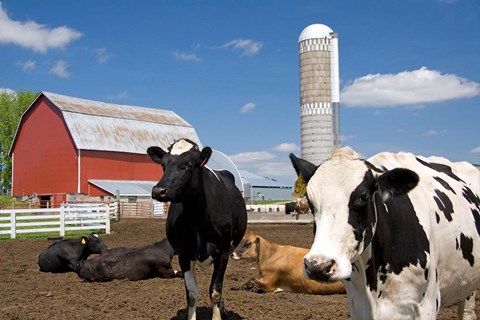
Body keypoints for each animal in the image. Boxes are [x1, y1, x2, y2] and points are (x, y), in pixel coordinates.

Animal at [148, 138, 248, 320]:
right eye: (163, 165)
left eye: (188, 165)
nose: (158, 191)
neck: (198, 217)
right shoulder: (184, 254)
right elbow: (192, 293)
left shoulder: (223, 252)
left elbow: (215, 291)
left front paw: (218, 315)